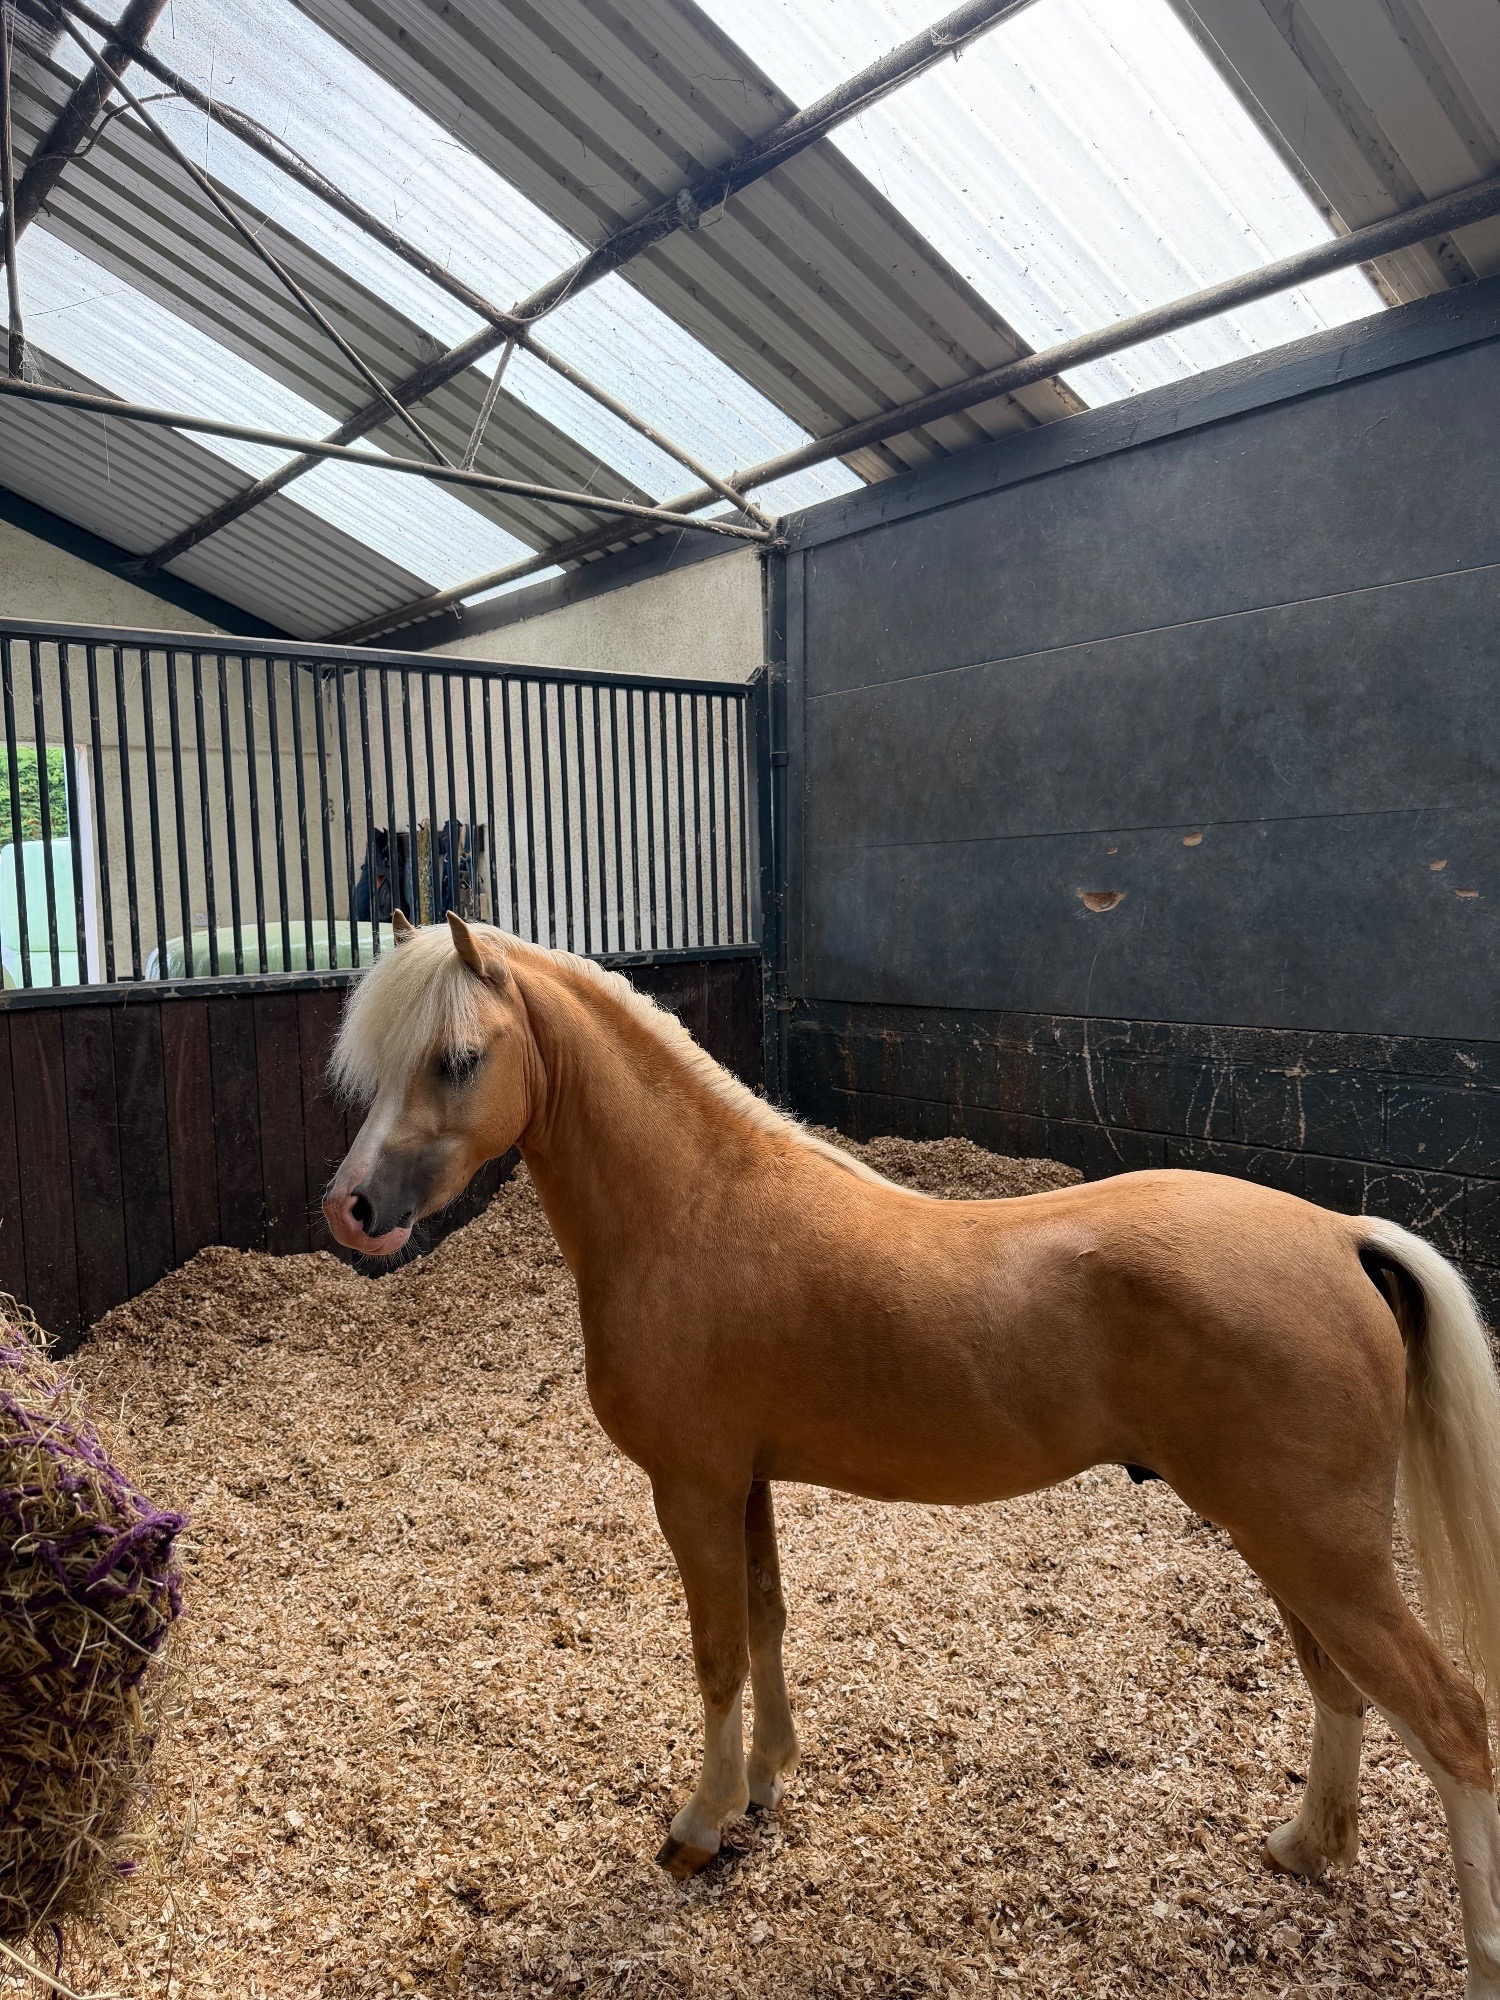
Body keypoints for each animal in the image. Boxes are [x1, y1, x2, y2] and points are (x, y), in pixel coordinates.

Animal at [322, 912, 1500, 1996]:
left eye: (458, 1057)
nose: (354, 1210)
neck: (694, 1208)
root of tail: (1342, 1233)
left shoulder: (691, 1486)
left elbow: (717, 1652)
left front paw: (701, 1824)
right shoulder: (744, 1482)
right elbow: (765, 1621)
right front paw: (766, 1783)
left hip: (1316, 1546)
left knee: (1451, 1723)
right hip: (1286, 1540)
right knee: (1343, 1690)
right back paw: (1304, 1847)